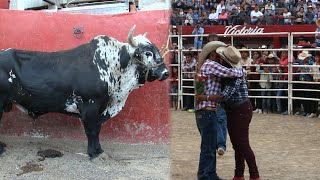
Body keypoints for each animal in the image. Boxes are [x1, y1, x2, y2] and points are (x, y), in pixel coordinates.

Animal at [0, 25, 170, 159]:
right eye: (147, 53)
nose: (165, 72)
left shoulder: (101, 107)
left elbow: (97, 128)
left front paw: (99, 150)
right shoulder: (90, 105)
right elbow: (91, 130)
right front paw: (93, 153)